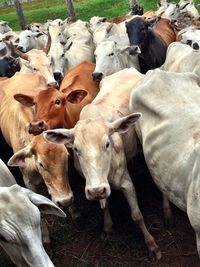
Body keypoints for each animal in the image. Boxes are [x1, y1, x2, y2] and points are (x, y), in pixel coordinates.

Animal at [43, 68, 161, 260]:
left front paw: (151, 245)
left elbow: (137, 215)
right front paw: (107, 228)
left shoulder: (126, 183)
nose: (96, 190)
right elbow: (103, 206)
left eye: (107, 144)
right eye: (76, 149)